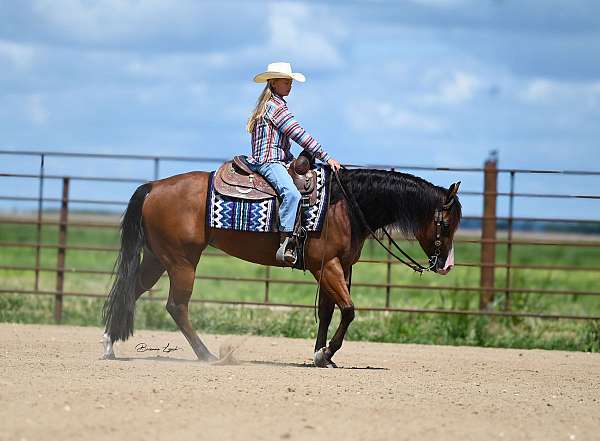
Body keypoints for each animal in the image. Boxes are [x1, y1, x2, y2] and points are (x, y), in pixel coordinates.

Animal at [102, 167, 460, 366]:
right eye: (445, 224)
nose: (445, 266)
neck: (344, 205)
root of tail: (154, 187)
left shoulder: (339, 267)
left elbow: (328, 311)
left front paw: (320, 356)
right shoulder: (327, 266)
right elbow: (348, 310)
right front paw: (326, 354)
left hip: (157, 259)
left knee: (130, 292)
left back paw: (108, 346)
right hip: (182, 262)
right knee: (177, 306)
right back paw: (208, 356)